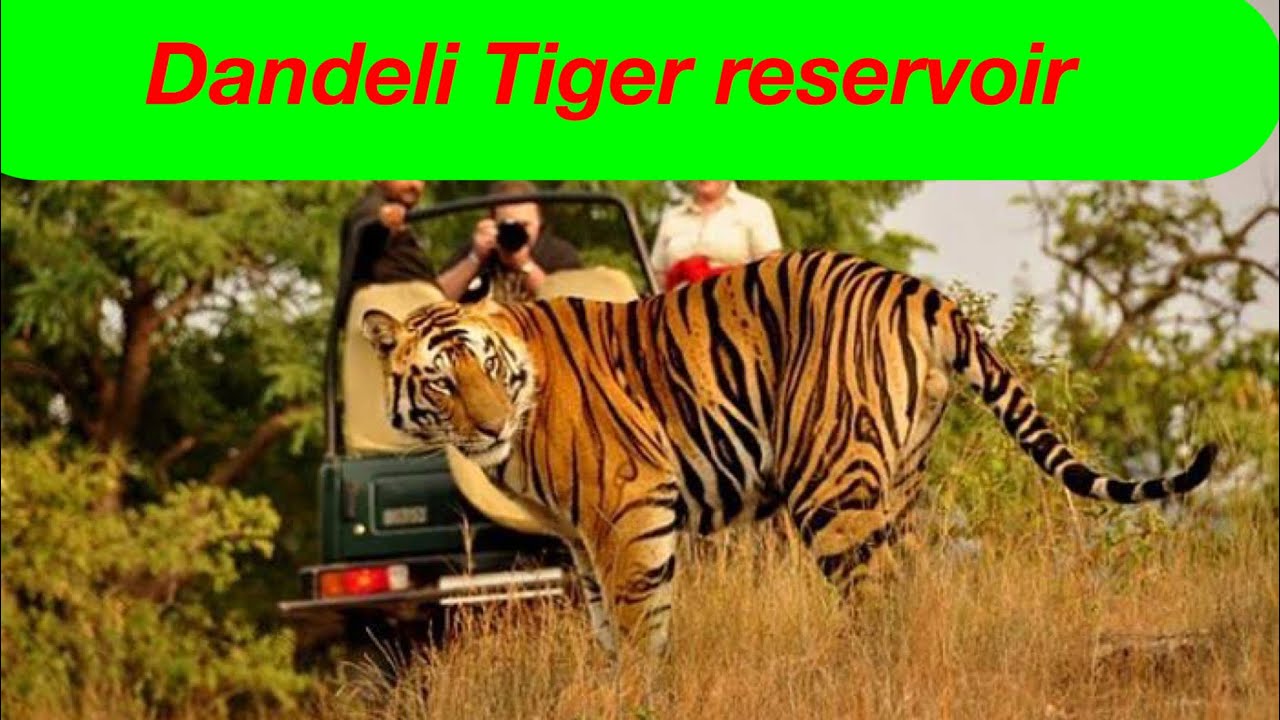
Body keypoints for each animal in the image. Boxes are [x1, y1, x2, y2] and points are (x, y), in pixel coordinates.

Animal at [359, 249, 1218, 659]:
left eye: (486, 366)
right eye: (441, 380)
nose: (489, 426)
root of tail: (918, 289)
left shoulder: (629, 509)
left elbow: (640, 627)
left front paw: (639, 690)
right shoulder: (581, 539)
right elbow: (608, 628)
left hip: (830, 484)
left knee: (875, 596)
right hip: (899, 480)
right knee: (909, 585)